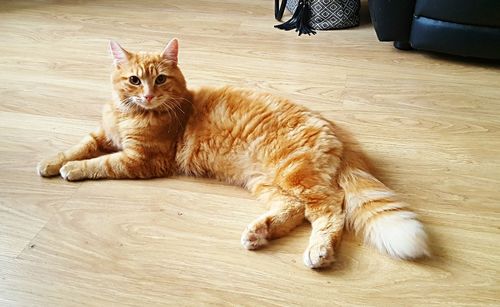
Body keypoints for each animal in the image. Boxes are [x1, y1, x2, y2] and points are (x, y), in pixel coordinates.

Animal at [38, 38, 430, 270]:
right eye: (135, 80)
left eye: (160, 79)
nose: (148, 94)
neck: (130, 114)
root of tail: (338, 130)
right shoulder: (103, 134)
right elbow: (78, 146)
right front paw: (51, 161)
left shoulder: (142, 159)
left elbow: (99, 162)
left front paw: (72, 169)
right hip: (267, 182)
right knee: (295, 210)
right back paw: (259, 232)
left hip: (295, 174)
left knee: (329, 210)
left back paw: (319, 252)